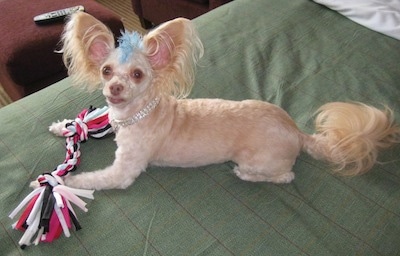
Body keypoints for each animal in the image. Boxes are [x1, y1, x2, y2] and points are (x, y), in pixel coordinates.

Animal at [50, 13, 400, 191]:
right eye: (106, 71)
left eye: (137, 75)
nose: (115, 88)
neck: (136, 114)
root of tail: (297, 133)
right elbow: (94, 121)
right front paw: (62, 126)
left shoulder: (123, 171)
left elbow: (98, 178)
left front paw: (69, 180)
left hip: (257, 161)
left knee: (284, 176)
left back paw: (249, 176)